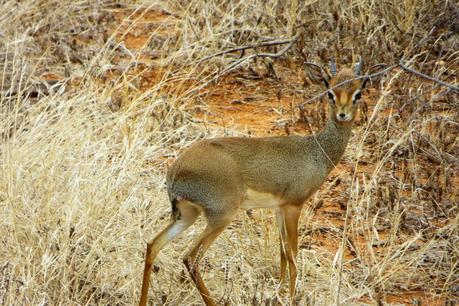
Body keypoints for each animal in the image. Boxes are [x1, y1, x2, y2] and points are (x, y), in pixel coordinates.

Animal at [139, 58, 370, 306]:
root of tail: (175, 171)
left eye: (357, 93)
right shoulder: (293, 206)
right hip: (221, 216)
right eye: (330, 92)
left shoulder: (279, 208)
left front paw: (278, 293)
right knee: (190, 258)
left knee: (153, 245)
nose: (343, 115)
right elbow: (293, 255)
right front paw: (290, 297)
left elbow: (282, 252)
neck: (315, 151)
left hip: (187, 214)